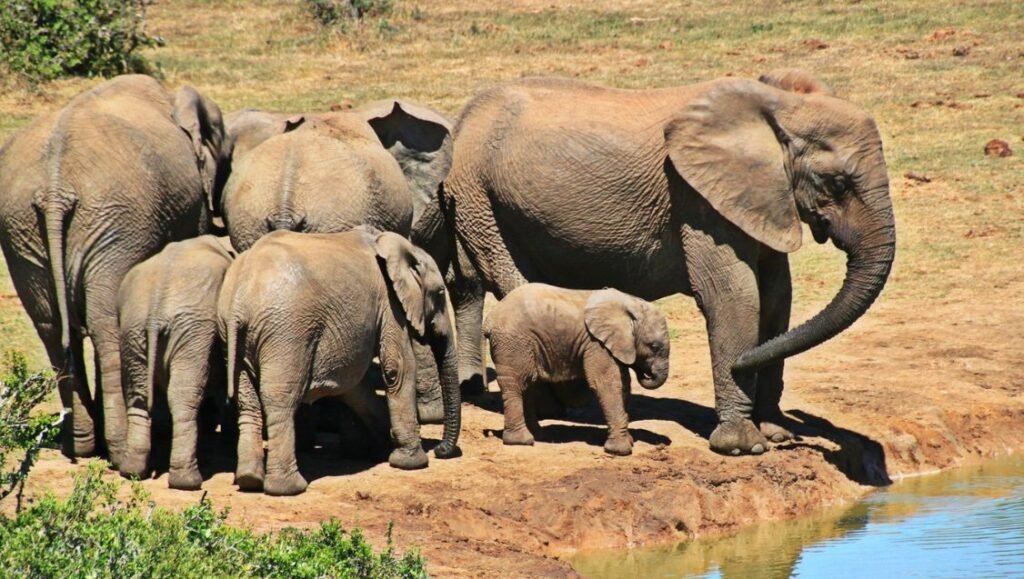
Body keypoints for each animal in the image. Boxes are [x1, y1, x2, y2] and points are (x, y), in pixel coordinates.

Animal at [0, 75, 227, 463]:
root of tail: (54, 190)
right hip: (114, 224)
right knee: (105, 325)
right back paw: (119, 450)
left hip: (24, 231)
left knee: (52, 327)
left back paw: (81, 444)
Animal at [116, 235, 235, 490]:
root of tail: (155, 311)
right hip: (193, 332)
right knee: (183, 397)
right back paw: (188, 481)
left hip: (132, 330)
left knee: (139, 396)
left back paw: (132, 472)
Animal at [217, 228, 460, 496]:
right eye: (440, 293)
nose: (441, 451)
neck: (399, 246)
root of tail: (239, 302)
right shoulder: (389, 302)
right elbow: (398, 368)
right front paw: (411, 463)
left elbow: (354, 385)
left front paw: (383, 449)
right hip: (287, 333)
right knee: (280, 401)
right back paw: (288, 488)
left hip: (234, 335)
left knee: (247, 402)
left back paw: (249, 480)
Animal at [484, 284, 670, 456]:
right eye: (654, 347)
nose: (647, 373)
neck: (631, 304)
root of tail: (490, 319)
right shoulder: (596, 344)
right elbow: (607, 384)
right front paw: (620, 451)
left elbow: (624, 384)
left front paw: (629, 441)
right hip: (512, 343)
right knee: (516, 384)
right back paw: (522, 441)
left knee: (528, 384)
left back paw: (538, 435)